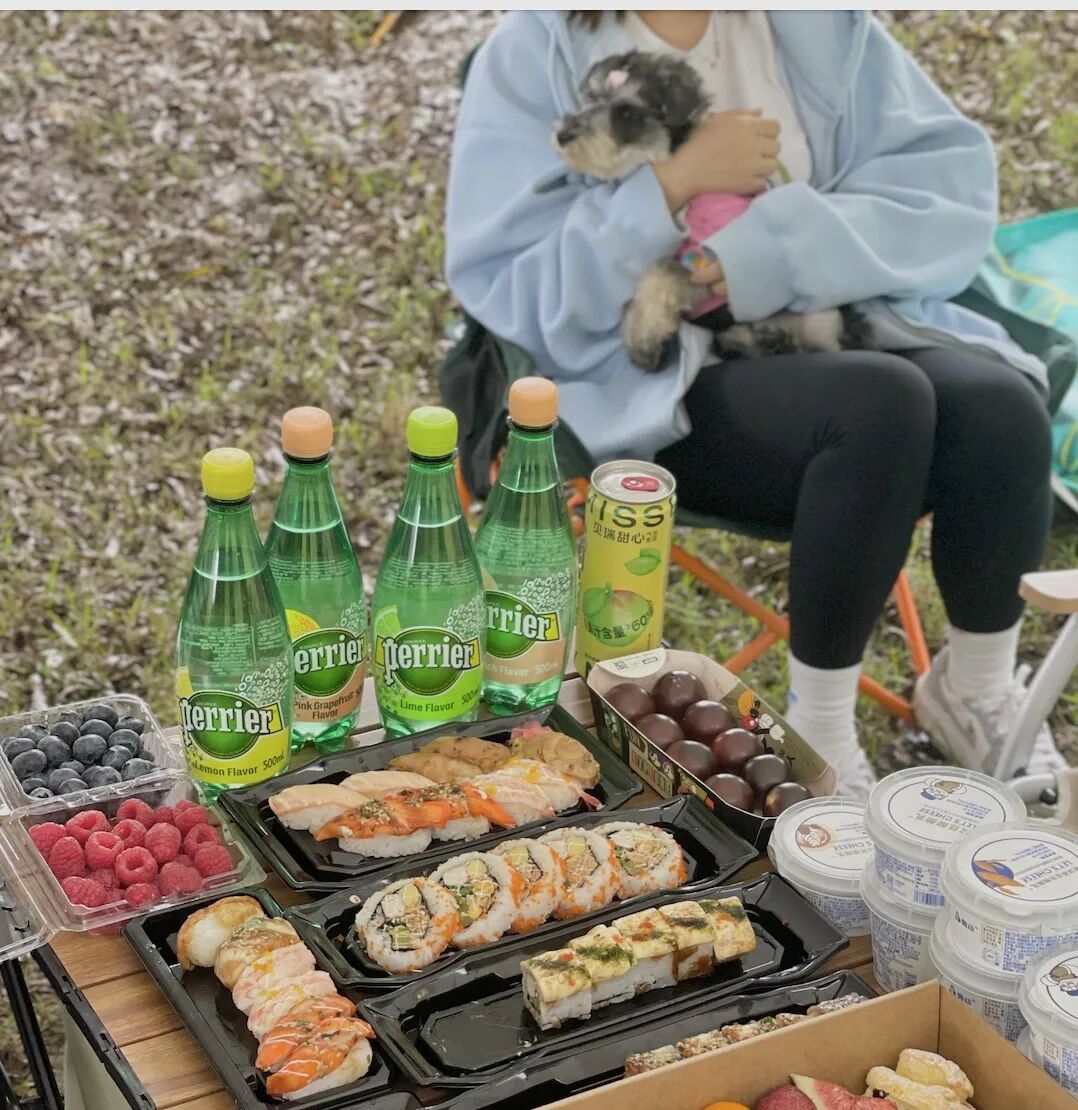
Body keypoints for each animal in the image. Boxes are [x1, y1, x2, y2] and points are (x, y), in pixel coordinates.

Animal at [554, 51, 871, 371]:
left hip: (823, 321)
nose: (563, 135)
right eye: (590, 98)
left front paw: (644, 339)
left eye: (626, 112)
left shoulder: (704, 267)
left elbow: (658, 277)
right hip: (736, 335)